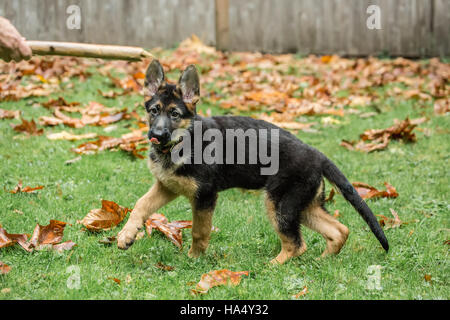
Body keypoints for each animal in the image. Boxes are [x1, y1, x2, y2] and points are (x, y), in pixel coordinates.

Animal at [118, 60, 388, 264]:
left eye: (175, 114)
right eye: (154, 111)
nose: (157, 134)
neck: (181, 141)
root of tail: (316, 153)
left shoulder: (204, 196)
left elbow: (199, 230)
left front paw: (194, 259)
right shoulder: (167, 186)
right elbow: (141, 205)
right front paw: (126, 236)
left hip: (280, 204)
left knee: (296, 244)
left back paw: (272, 266)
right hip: (302, 205)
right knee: (339, 231)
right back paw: (322, 261)